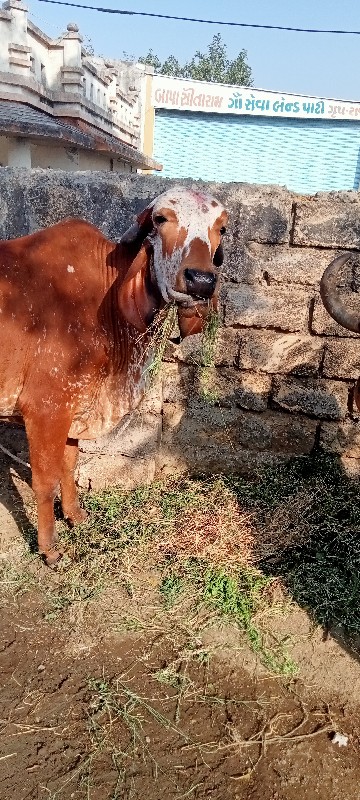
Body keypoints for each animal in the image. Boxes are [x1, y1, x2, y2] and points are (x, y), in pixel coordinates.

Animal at [0, 186, 228, 568]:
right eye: (160, 219)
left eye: (221, 228)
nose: (201, 280)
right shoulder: (46, 409)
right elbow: (45, 481)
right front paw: (50, 548)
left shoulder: (77, 407)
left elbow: (70, 466)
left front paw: (76, 516)